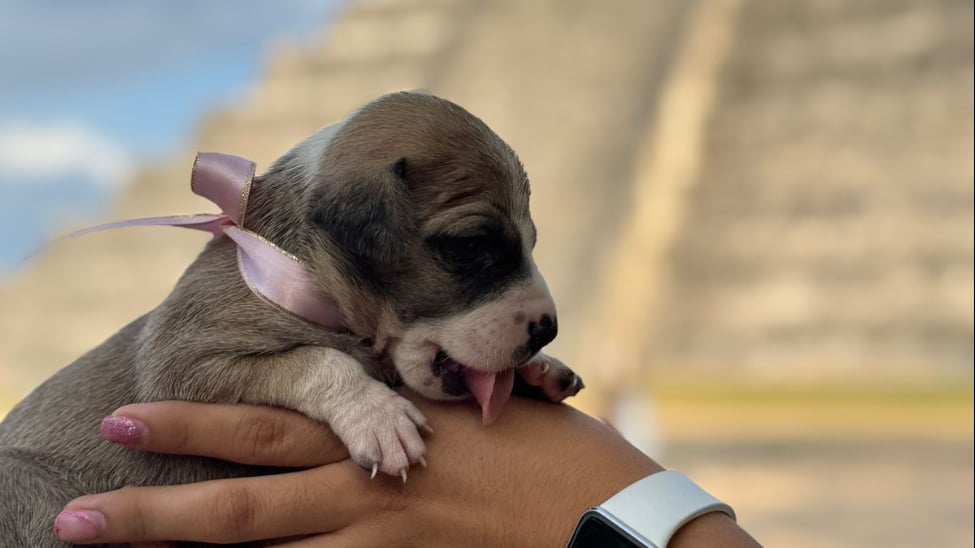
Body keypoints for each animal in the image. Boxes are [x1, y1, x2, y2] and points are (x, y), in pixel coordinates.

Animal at [0, 92, 580, 544]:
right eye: (472, 246)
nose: (547, 330)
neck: (306, 270)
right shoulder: (185, 366)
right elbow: (316, 359)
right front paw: (377, 415)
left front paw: (541, 370)